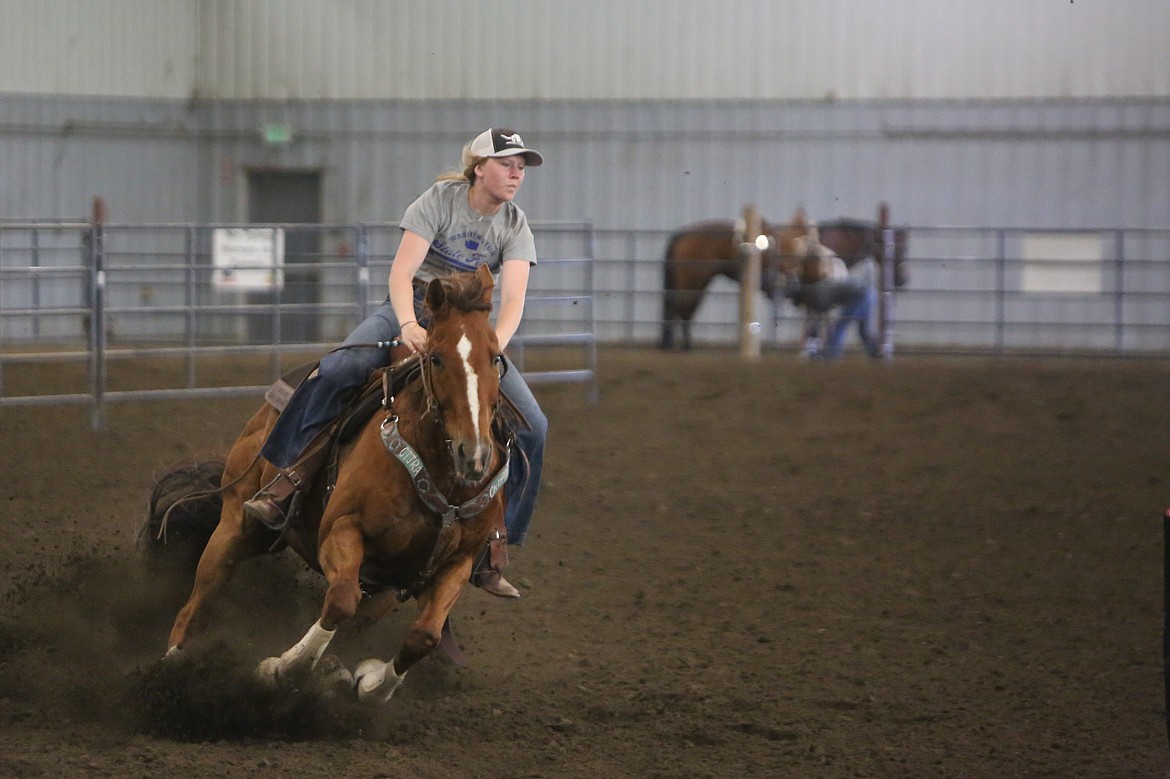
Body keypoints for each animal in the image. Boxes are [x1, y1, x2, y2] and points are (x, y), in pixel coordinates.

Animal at [157, 266, 510, 701]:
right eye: (436, 357)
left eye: (496, 357)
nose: (473, 455)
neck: (445, 482)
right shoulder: (341, 529)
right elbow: (340, 600)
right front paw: (282, 669)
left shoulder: (455, 563)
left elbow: (423, 636)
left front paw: (371, 682)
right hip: (235, 523)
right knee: (197, 602)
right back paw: (170, 670)